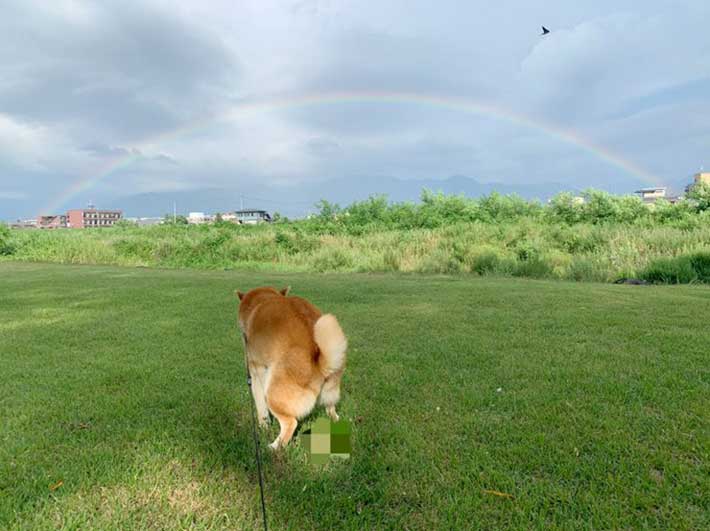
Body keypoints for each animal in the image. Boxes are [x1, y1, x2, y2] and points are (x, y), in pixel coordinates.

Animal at [238, 286, 350, 448]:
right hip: (331, 394)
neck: (263, 299)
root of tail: (319, 362)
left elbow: (261, 408)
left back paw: (273, 447)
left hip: (272, 394)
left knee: (290, 423)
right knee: (333, 413)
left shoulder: (255, 371)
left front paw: (263, 426)